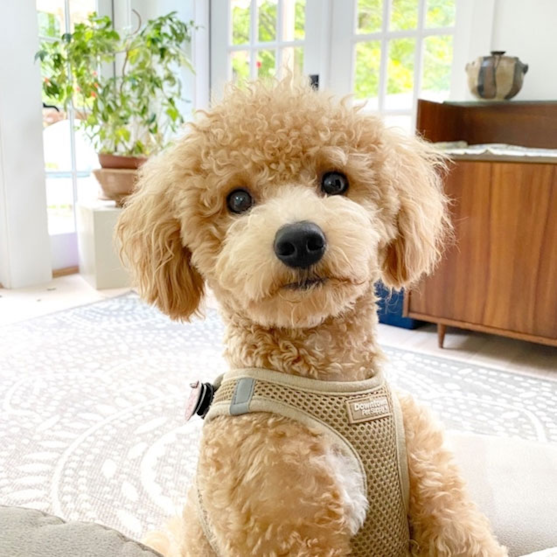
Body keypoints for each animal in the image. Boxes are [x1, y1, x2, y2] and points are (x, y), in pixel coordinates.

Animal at [116, 78, 504, 556]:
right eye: (238, 200)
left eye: (335, 181)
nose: (300, 240)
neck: (332, 379)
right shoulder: (288, 522)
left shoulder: (440, 496)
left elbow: (464, 533)